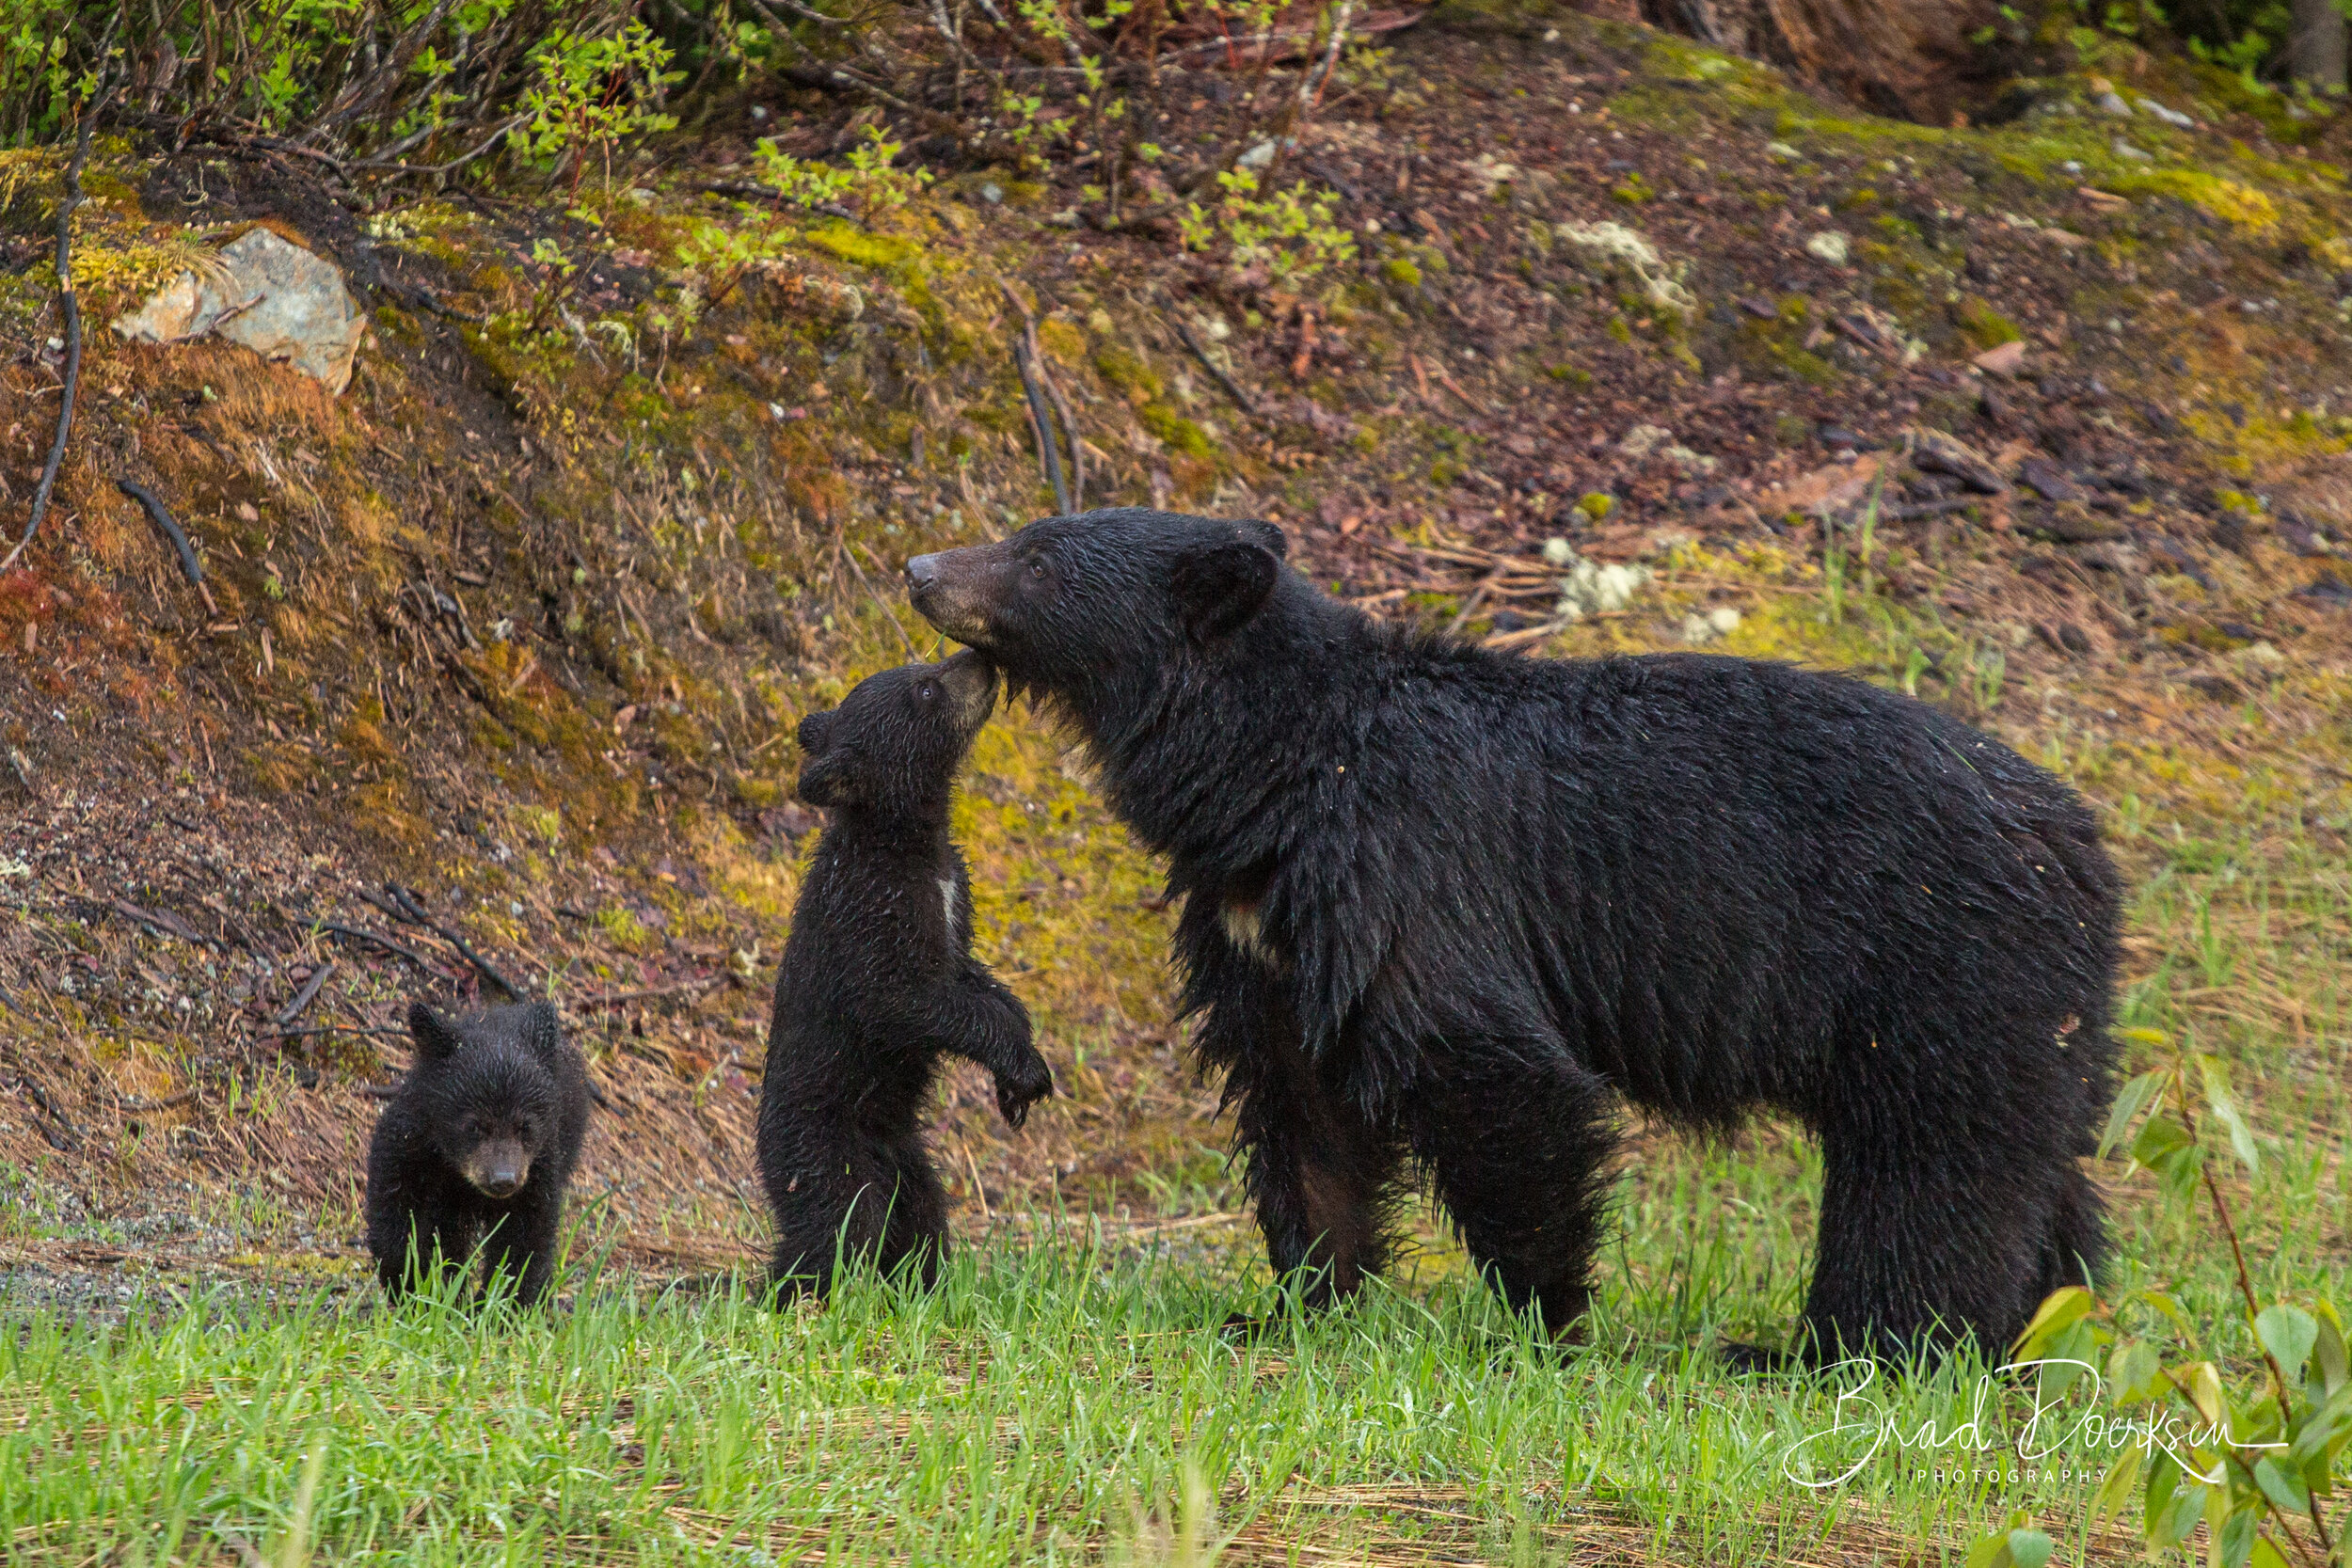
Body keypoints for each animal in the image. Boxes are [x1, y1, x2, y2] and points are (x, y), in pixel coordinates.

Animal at [366, 1000, 591, 1306]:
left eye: (525, 1126)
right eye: (474, 1125)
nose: (503, 1179)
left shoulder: (539, 1168)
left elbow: (526, 1236)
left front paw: (502, 1304)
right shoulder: (412, 1146)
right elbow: (393, 1204)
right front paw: (413, 1284)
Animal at [758, 648, 1055, 1300]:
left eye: (923, 666)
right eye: (924, 689)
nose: (979, 657)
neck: (915, 847)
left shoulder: (955, 895)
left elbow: (971, 975)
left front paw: (1021, 1054)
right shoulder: (872, 910)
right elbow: (901, 998)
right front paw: (1024, 1070)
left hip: (909, 1163)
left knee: (921, 1220)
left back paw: (922, 1288)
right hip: (820, 1150)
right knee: (837, 1232)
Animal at [905, 509, 2121, 1363]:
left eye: (1038, 556)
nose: (919, 567)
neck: (1277, 767)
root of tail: (2083, 843)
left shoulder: (1401, 864)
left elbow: (1488, 1067)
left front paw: (1548, 1320)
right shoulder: (1264, 926)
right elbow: (1303, 1104)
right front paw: (1297, 1302)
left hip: (1938, 969)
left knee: (1929, 1177)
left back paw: (1839, 1351)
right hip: (2032, 1014)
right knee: (2039, 1177)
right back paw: (2035, 1337)